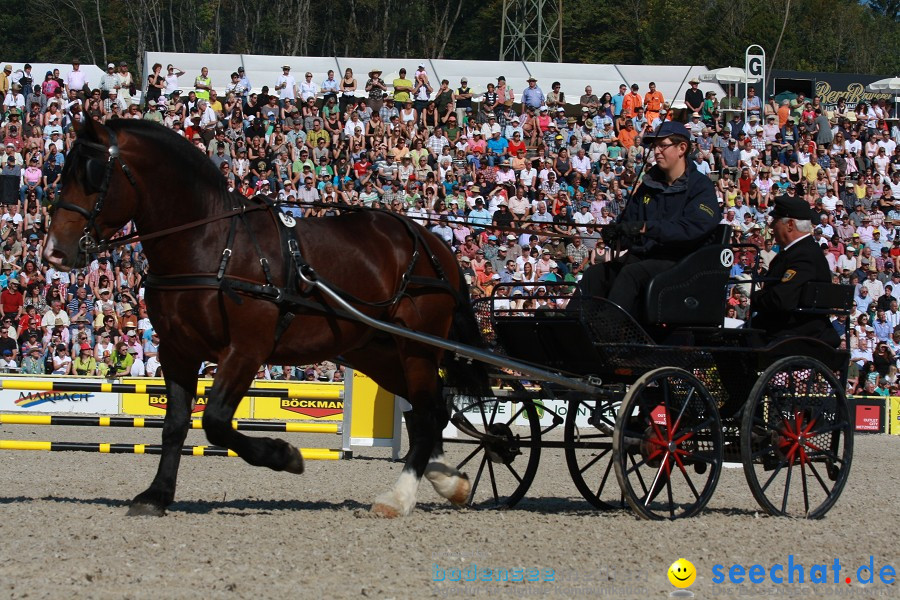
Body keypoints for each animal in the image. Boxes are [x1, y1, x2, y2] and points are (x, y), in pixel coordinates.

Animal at [45, 119, 488, 516]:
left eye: (91, 174)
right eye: (61, 172)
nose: (53, 252)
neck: (211, 245)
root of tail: (433, 243)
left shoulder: (245, 350)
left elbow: (216, 421)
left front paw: (284, 454)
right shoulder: (177, 352)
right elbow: (175, 425)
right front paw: (157, 495)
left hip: (416, 348)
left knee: (428, 413)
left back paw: (398, 498)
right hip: (375, 352)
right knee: (430, 410)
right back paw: (448, 480)